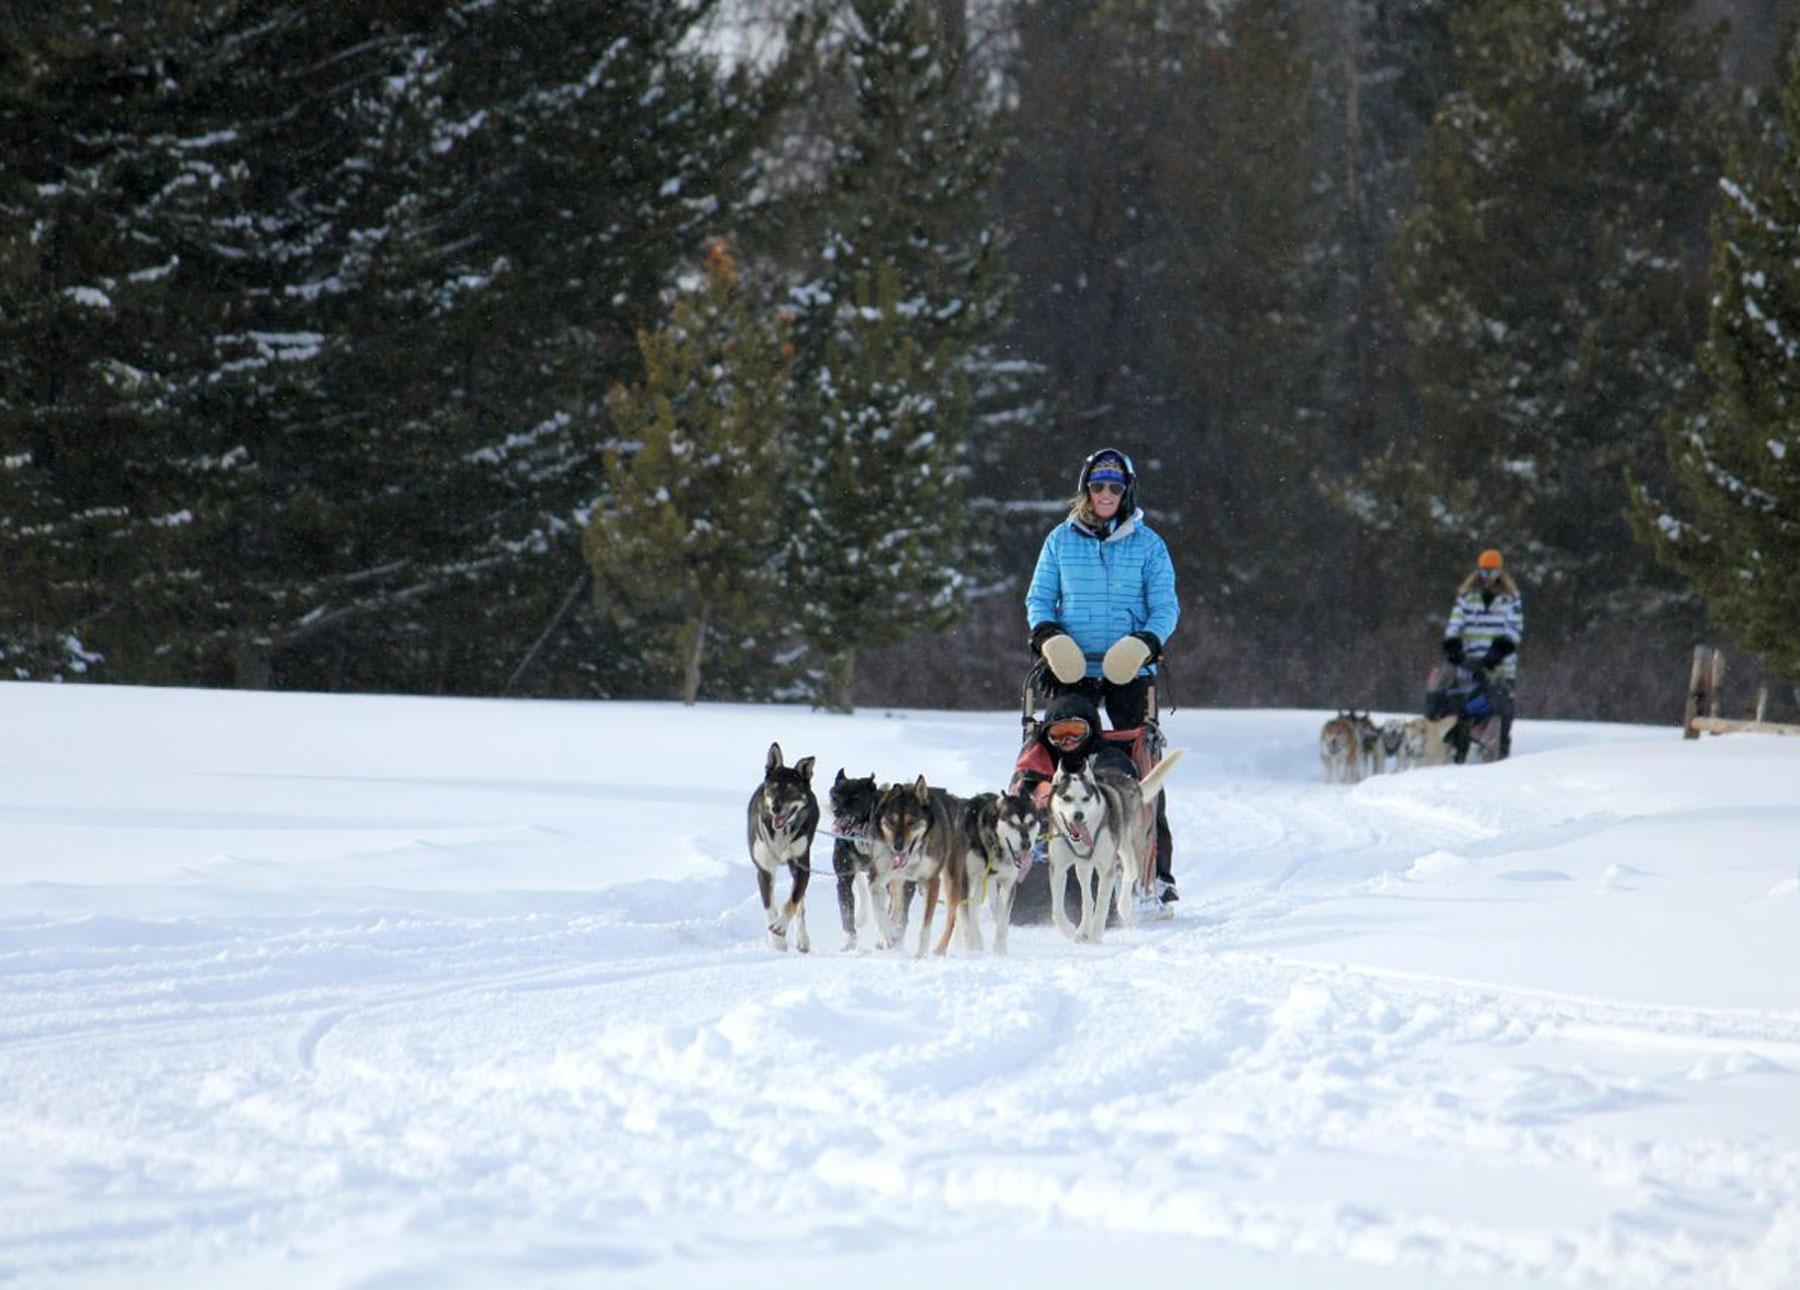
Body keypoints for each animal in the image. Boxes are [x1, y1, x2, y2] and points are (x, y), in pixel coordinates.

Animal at [745, 741, 824, 949]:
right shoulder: (764, 871)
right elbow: (770, 908)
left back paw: (803, 939)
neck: (780, 835)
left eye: (791, 790)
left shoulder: (801, 867)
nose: (776, 808)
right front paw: (778, 942)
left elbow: (792, 901)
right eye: (773, 788)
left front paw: (780, 926)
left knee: (800, 905)